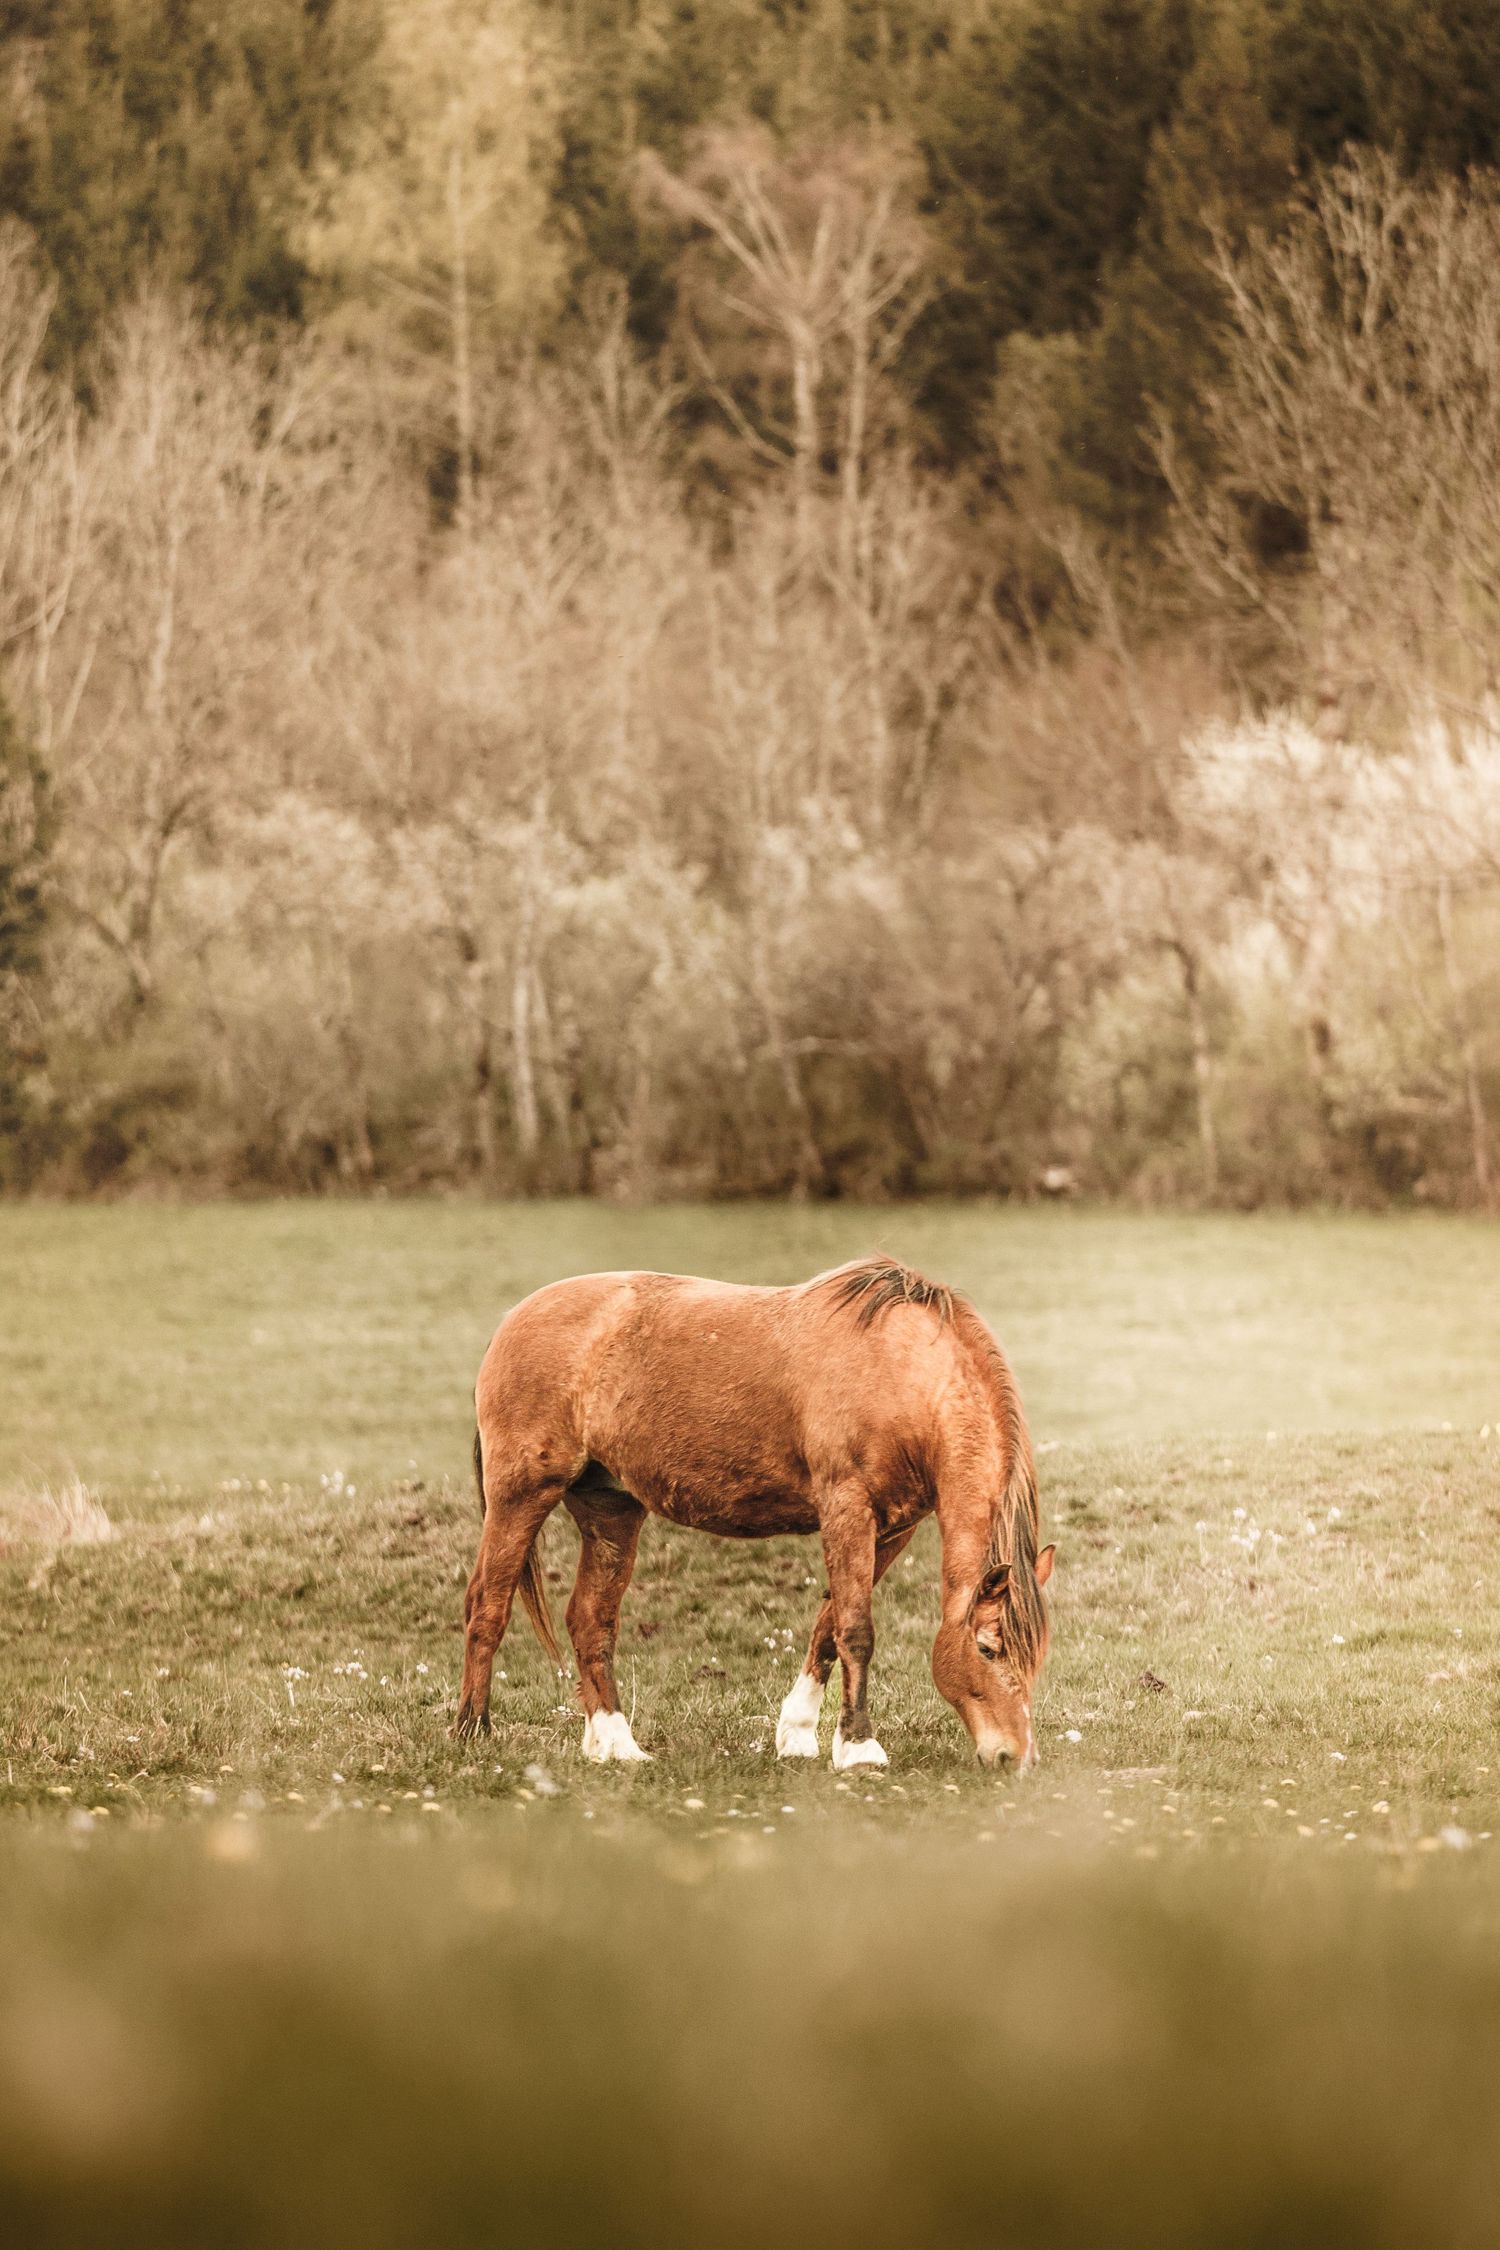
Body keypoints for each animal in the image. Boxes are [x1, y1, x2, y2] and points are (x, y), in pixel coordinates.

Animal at [454, 1256, 1055, 1771]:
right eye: (988, 1650)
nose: (1015, 1757)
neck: (902, 1369)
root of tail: (511, 1322)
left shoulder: (892, 1529)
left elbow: (827, 1626)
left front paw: (799, 1734)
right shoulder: (847, 1510)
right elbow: (855, 1630)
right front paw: (859, 1749)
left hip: (611, 1512)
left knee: (590, 1621)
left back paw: (616, 1744)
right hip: (521, 1496)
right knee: (488, 1605)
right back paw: (473, 1731)